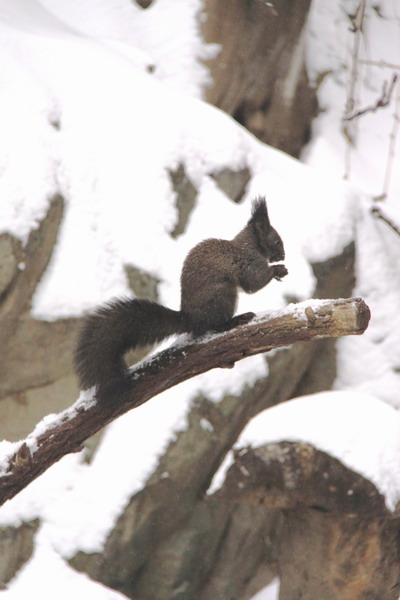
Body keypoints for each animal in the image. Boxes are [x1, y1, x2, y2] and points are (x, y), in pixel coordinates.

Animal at [74, 199, 288, 400]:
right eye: (277, 241)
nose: (283, 255)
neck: (251, 244)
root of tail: (190, 318)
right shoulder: (248, 262)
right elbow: (253, 282)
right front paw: (277, 270)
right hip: (223, 294)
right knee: (214, 325)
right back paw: (236, 320)